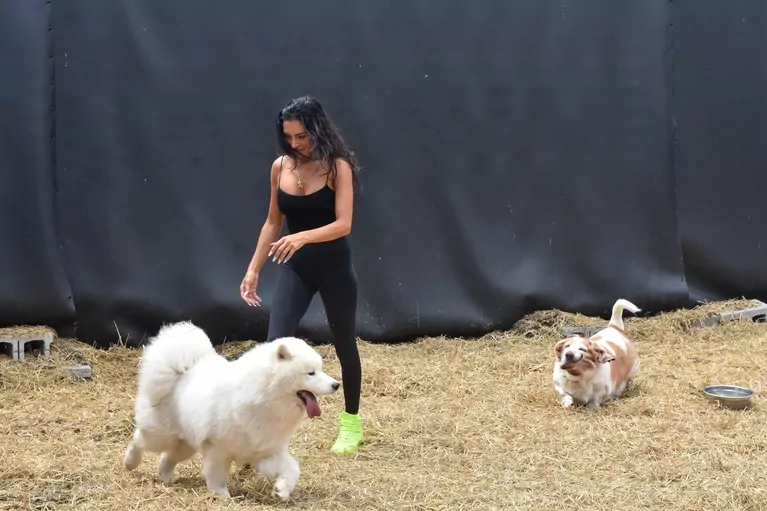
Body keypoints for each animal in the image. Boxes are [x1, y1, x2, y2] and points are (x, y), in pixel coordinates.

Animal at [122, 322, 340, 502]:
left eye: (320, 370)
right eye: (311, 373)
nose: (336, 384)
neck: (265, 396)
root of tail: (181, 372)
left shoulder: (265, 452)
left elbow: (293, 468)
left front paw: (282, 490)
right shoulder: (218, 450)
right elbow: (216, 475)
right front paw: (222, 495)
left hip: (185, 443)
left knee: (167, 458)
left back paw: (165, 477)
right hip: (161, 434)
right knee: (139, 440)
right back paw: (130, 462)